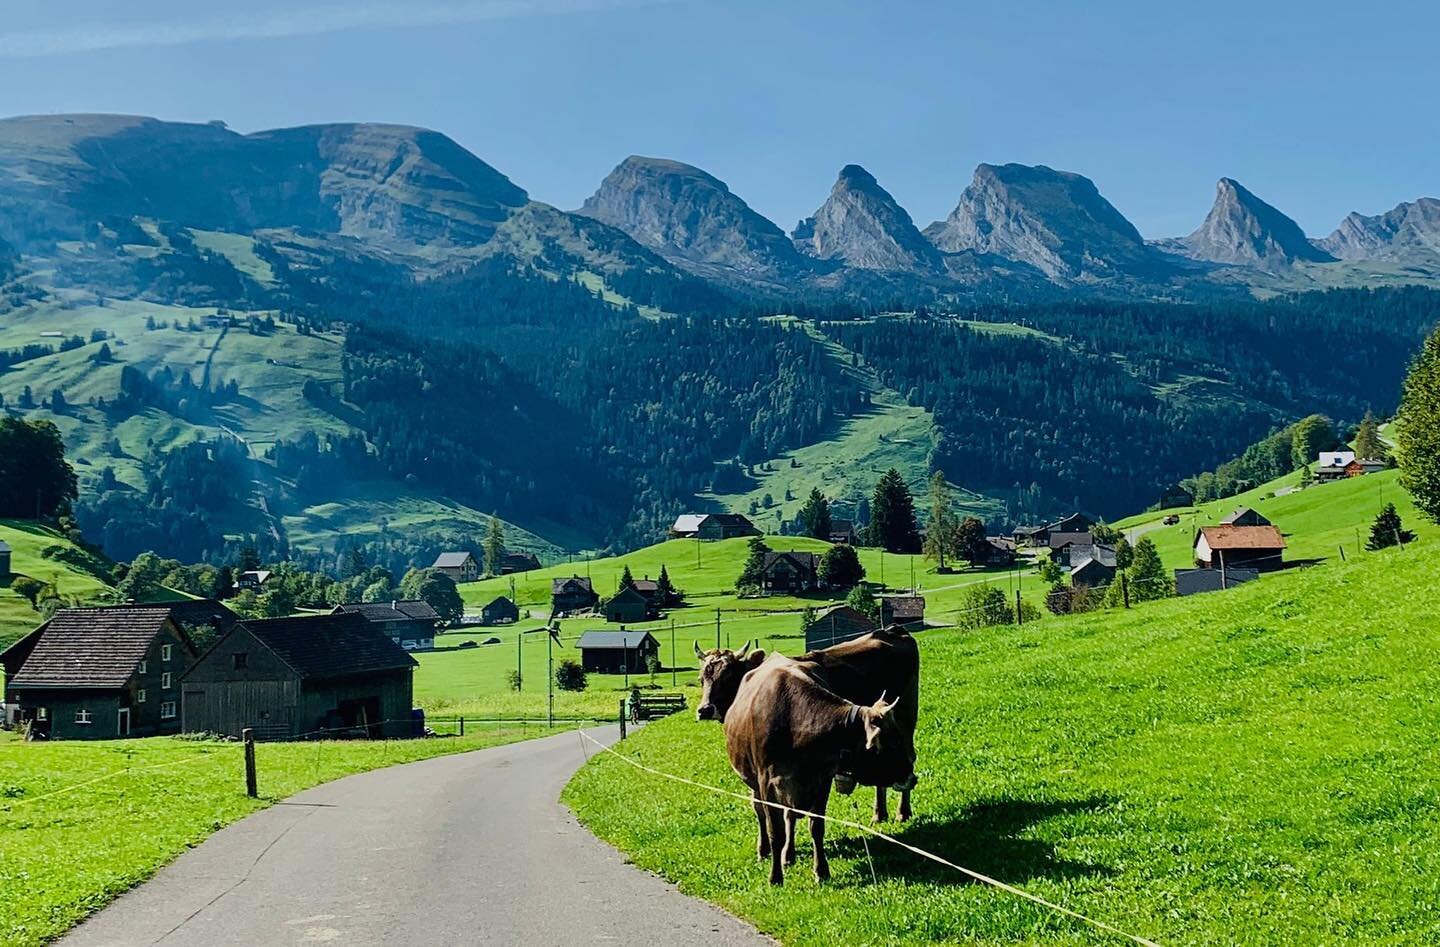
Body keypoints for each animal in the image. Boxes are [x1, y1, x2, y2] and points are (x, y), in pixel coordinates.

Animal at [696, 618, 921, 817]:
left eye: (728, 676)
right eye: (701, 679)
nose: (704, 709)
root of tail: (893, 630)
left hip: (906, 719)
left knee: (909, 758)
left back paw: (902, 812)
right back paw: (879, 814)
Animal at [720, 653, 910, 880]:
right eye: (893, 743)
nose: (912, 776)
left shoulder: (822, 781)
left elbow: (816, 826)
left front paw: (821, 871)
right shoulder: (767, 785)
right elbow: (775, 832)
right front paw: (775, 877)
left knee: (790, 816)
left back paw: (789, 855)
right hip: (754, 783)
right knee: (760, 812)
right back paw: (764, 850)